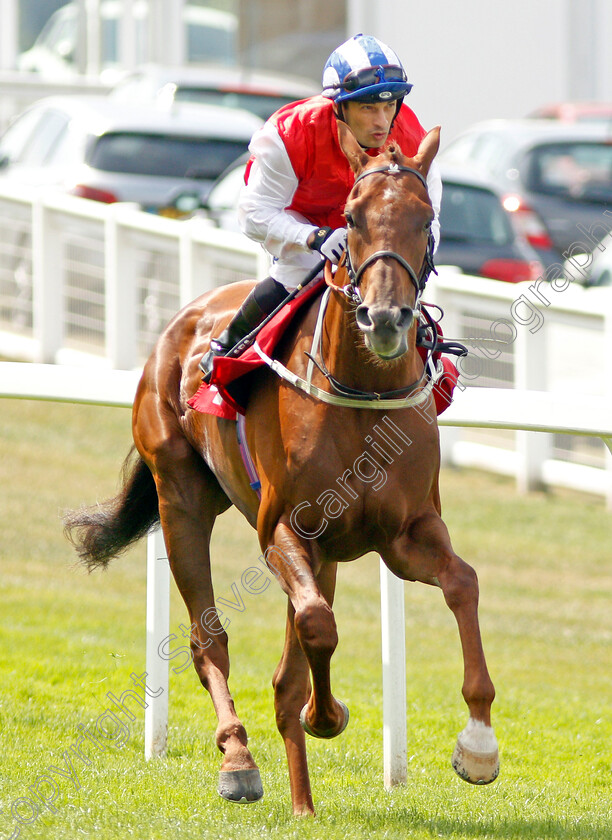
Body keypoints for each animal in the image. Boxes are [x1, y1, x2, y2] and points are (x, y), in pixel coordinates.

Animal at [65, 123, 498, 812]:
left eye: (426, 217)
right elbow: (316, 628)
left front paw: (479, 745)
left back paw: (302, 797)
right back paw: (239, 760)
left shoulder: (405, 534)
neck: (361, 393)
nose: (385, 318)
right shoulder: (285, 530)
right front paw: (327, 716)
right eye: (350, 217)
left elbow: (462, 583)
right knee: (209, 639)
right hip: (181, 498)